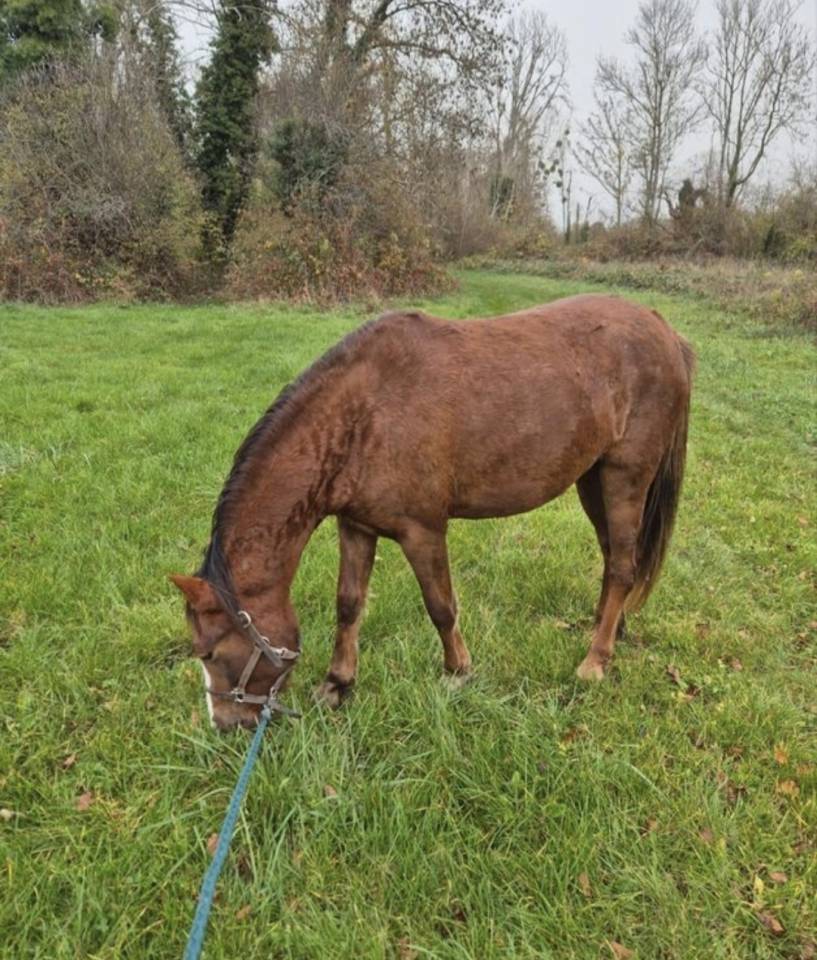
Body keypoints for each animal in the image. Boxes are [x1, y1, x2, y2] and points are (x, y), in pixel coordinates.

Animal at [172, 294, 694, 730]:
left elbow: (441, 606)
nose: (226, 725)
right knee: (613, 559)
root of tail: (663, 329)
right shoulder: (355, 526)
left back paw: (595, 660)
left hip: (626, 476)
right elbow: (349, 605)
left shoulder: (422, 530)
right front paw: (338, 685)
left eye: (211, 652)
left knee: (623, 565)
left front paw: (458, 672)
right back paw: (611, 629)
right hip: (593, 478)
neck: (364, 415)